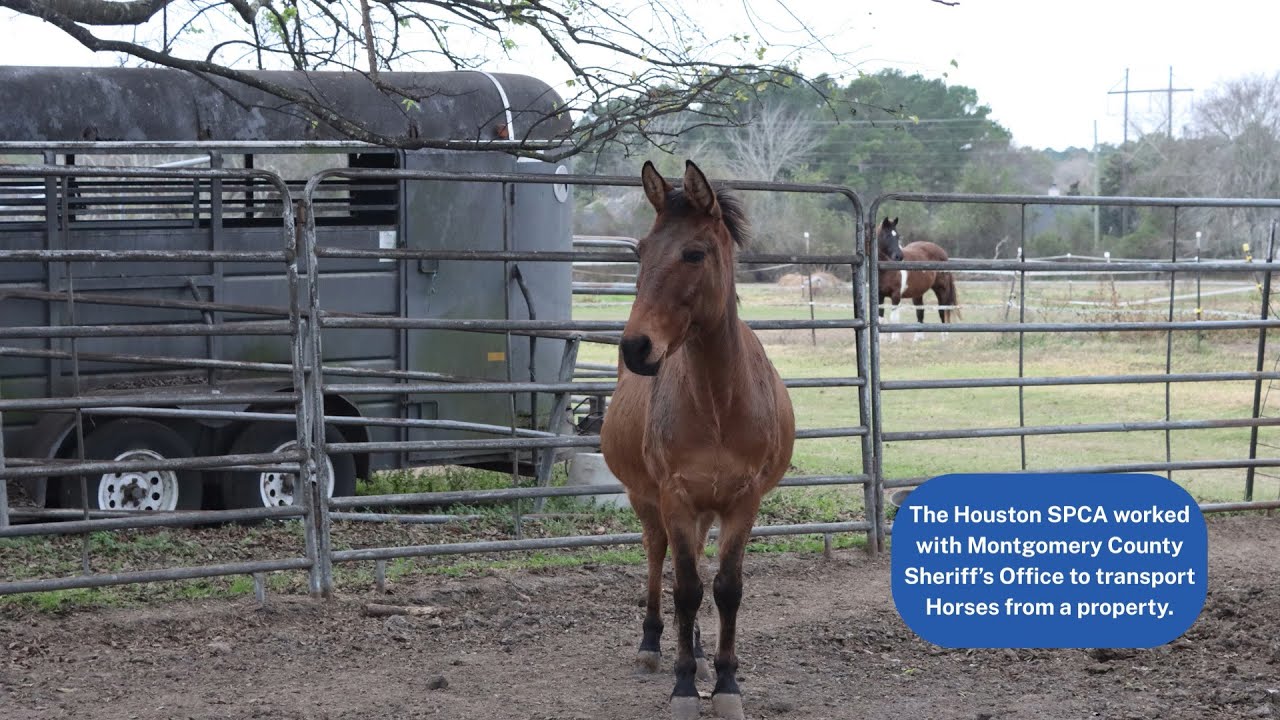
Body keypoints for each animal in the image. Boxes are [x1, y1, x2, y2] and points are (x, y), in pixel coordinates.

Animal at [600, 160, 796, 720]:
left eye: (693, 253)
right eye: (641, 250)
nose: (636, 347)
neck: (717, 403)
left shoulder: (743, 500)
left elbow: (725, 588)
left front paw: (726, 683)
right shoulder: (674, 497)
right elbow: (685, 589)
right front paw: (684, 688)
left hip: (707, 509)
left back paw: (704, 655)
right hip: (647, 501)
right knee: (657, 557)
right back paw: (652, 645)